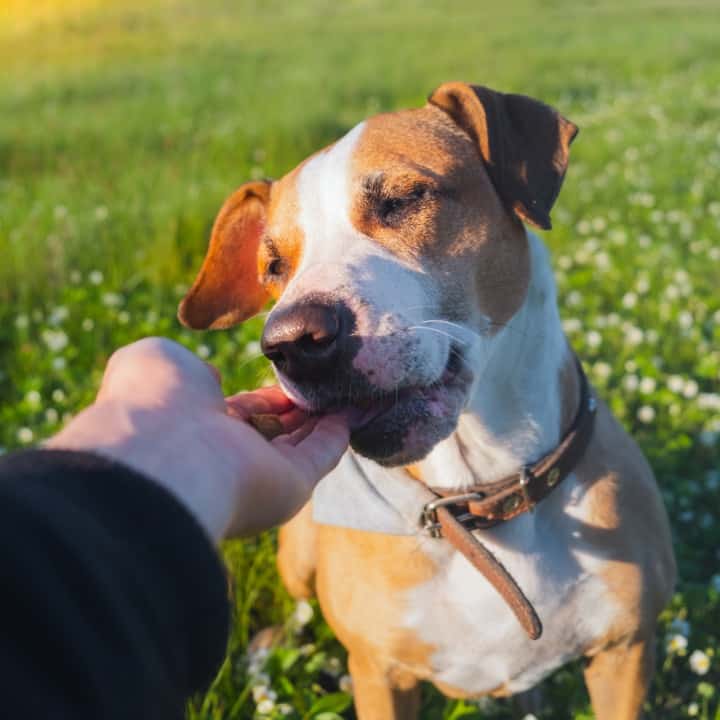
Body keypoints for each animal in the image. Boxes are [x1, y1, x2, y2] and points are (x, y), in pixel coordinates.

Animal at [179, 83, 676, 720]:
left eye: (402, 200)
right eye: (272, 266)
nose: (291, 341)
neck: (477, 494)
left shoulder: (626, 655)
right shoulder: (380, 674)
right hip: (297, 551)